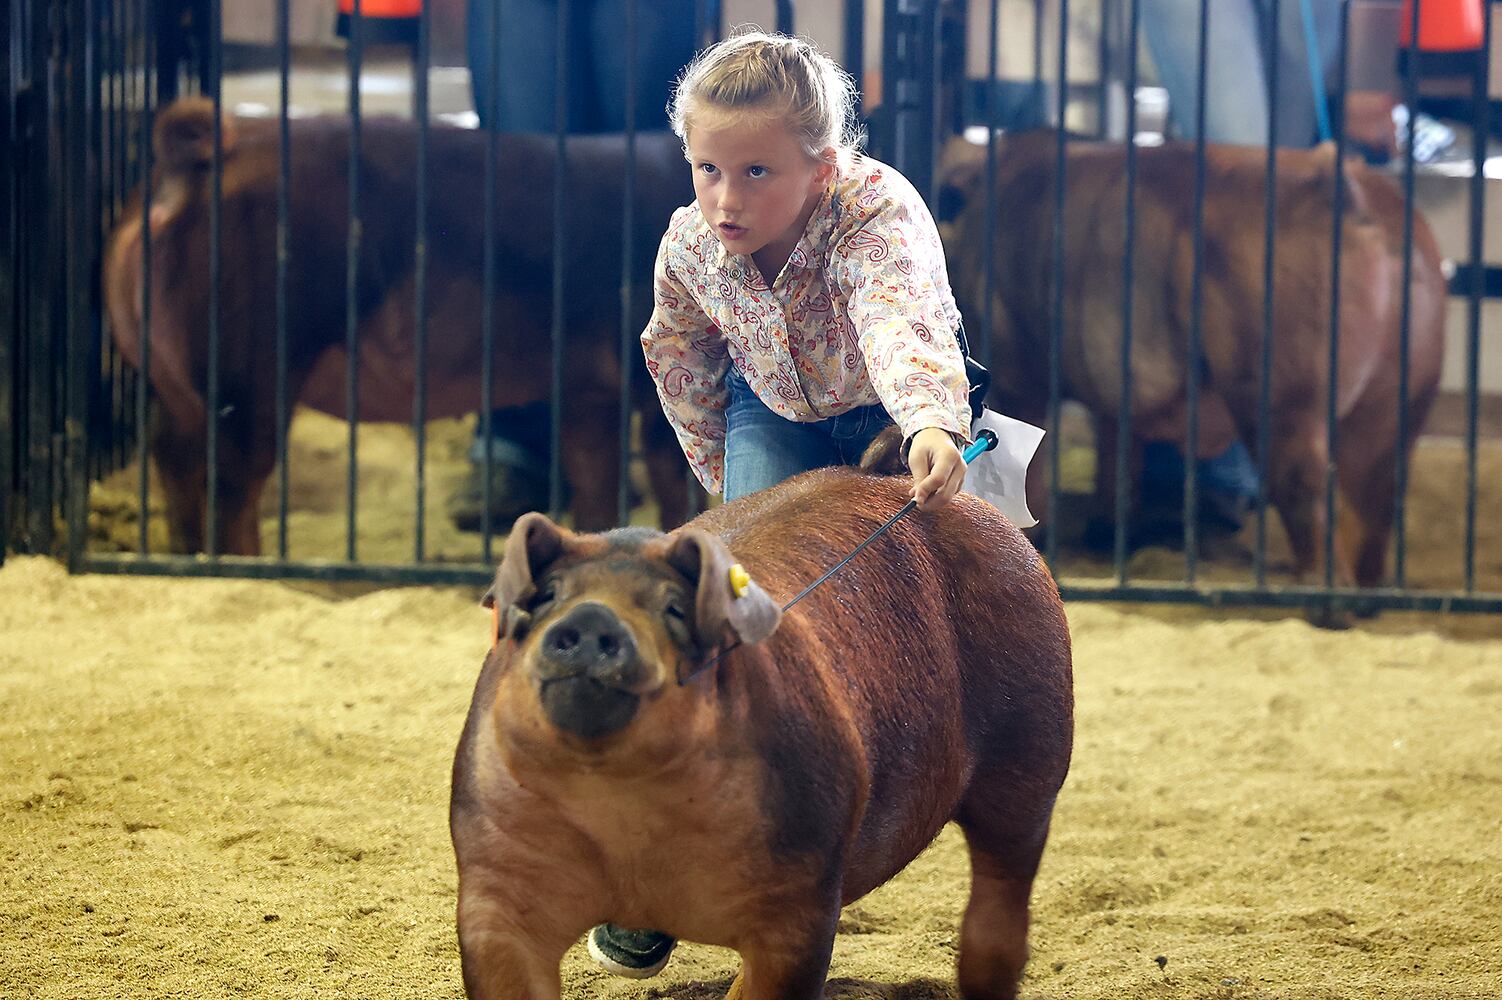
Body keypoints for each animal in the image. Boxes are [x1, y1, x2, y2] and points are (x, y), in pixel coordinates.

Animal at [450, 468, 1075, 996]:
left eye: (674, 609)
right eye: (549, 597)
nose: (592, 618)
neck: (622, 809)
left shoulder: (800, 891)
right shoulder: (493, 881)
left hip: (1035, 740)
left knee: (1004, 882)